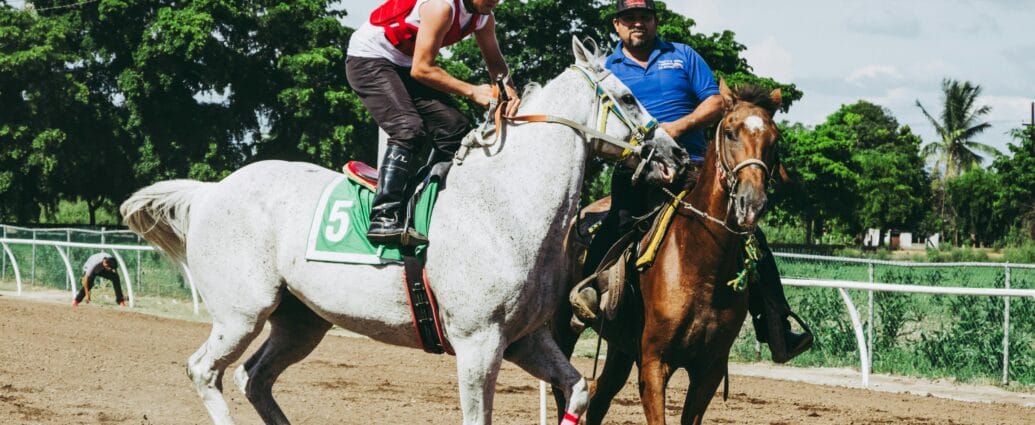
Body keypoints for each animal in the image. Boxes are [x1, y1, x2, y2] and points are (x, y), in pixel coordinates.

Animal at [119, 37, 691, 425]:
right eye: (629, 97)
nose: (678, 157)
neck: (505, 205)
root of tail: (209, 192)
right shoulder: (478, 344)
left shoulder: (525, 339)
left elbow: (577, 391)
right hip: (241, 313)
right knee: (204, 370)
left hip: (299, 322)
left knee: (254, 378)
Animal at [551, 80, 784, 425]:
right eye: (731, 132)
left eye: (774, 139)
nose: (751, 202)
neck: (703, 267)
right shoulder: (653, 364)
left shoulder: (709, 370)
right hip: (562, 327)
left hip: (621, 349)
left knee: (600, 396)